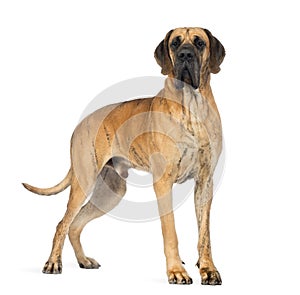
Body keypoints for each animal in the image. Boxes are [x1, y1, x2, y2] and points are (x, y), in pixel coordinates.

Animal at [23, 28, 225, 286]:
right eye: (175, 43)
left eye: (199, 43)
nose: (185, 55)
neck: (192, 106)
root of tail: (79, 125)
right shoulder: (163, 183)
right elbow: (170, 232)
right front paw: (176, 271)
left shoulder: (205, 183)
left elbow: (205, 235)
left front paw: (208, 269)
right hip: (84, 182)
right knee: (63, 223)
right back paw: (53, 263)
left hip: (111, 192)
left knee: (75, 225)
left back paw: (84, 260)